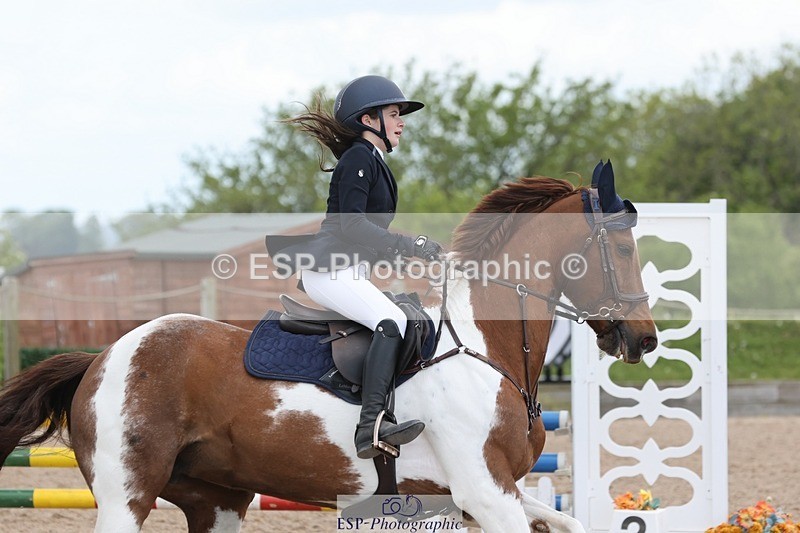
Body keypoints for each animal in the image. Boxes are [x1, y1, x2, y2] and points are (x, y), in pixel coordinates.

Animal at [0, 166, 657, 533]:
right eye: (625, 250)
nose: (644, 339)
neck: (487, 349)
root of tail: (103, 357)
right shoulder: (483, 491)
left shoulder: (497, 492)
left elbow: (570, 518)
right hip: (126, 495)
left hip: (218, 501)